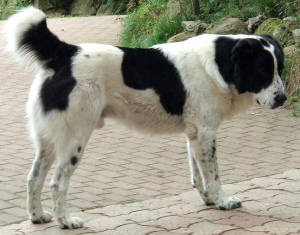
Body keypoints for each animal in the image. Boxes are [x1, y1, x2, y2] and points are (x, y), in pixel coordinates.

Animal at [4, 7, 286, 229]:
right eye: (262, 72)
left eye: (280, 70)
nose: (283, 99)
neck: (220, 64)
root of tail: (66, 53)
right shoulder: (206, 132)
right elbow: (213, 174)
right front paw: (222, 201)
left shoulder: (195, 134)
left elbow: (198, 174)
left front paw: (207, 199)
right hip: (75, 139)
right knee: (57, 182)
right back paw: (65, 221)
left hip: (48, 141)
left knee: (34, 177)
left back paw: (38, 216)